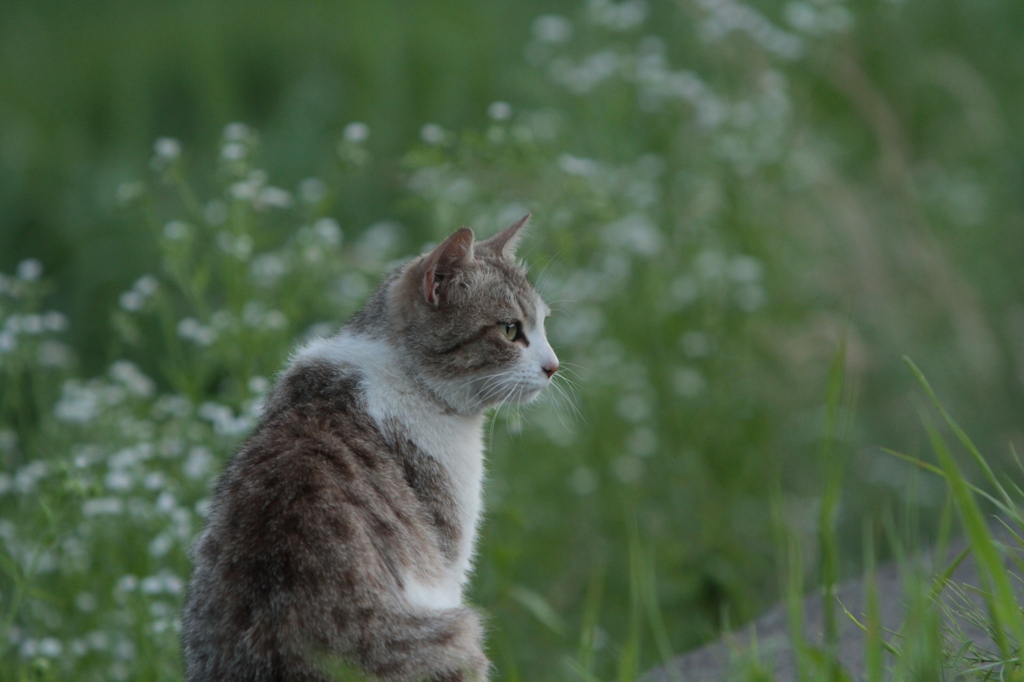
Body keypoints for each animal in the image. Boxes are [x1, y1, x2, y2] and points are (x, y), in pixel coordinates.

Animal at [180, 216, 557, 679]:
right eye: (509, 330)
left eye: (544, 324)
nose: (554, 366)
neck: (406, 371)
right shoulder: (448, 567)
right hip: (459, 635)